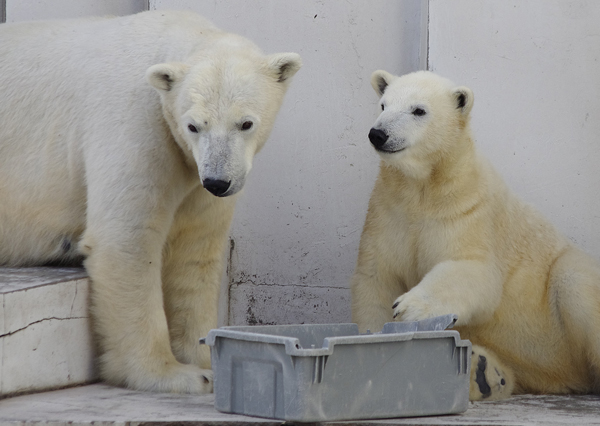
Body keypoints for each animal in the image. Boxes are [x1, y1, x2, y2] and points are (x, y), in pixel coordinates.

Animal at [0, 10, 300, 394]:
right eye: (194, 126)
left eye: (245, 123)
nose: (218, 182)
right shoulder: (137, 122)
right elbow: (128, 239)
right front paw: (176, 374)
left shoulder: (193, 172)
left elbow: (195, 247)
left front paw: (206, 358)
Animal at [352, 69, 600, 400]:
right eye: (383, 105)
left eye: (419, 110)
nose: (378, 134)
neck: (426, 188)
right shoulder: (388, 213)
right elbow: (377, 277)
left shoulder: (468, 209)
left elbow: (471, 270)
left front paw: (409, 308)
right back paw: (484, 373)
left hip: (557, 293)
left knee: (575, 283)